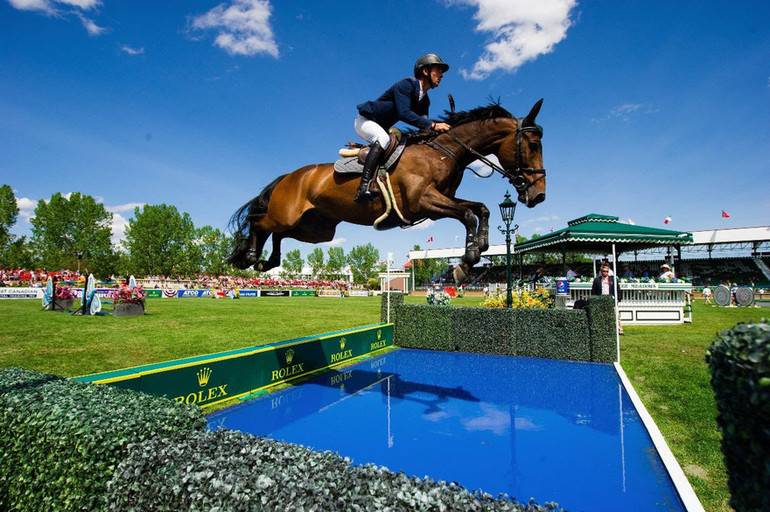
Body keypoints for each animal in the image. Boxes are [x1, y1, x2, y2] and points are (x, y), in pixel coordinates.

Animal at [228, 99, 544, 284]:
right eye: (532, 144)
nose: (539, 195)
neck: (443, 153)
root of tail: (289, 176)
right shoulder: (424, 202)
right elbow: (467, 214)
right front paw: (466, 261)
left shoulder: (441, 200)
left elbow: (481, 209)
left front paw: (478, 249)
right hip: (288, 215)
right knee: (260, 223)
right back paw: (251, 256)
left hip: (316, 229)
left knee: (278, 234)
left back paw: (268, 261)